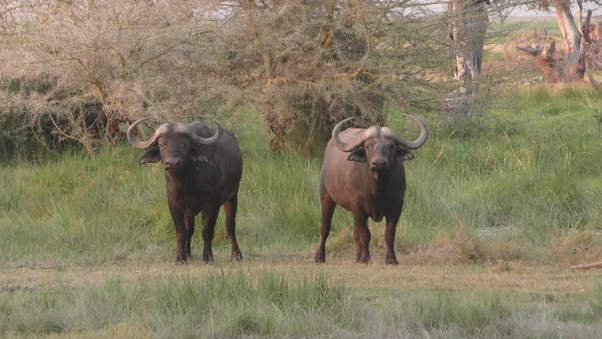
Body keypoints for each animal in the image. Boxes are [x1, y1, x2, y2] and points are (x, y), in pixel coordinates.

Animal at [127, 117, 243, 266]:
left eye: (184, 144)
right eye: (162, 145)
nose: (172, 163)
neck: (189, 182)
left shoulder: (213, 204)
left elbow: (207, 230)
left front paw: (207, 257)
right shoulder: (174, 203)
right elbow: (182, 231)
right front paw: (180, 258)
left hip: (233, 195)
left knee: (230, 225)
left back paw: (237, 255)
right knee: (190, 228)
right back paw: (188, 254)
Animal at [314, 114, 426, 266]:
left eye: (391, 146)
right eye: (368, 146)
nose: (378, 163)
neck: (378, 187)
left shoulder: (397, 206)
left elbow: (389, 234)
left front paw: (391, 259)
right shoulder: (358, 205)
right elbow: (365, 233)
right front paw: (365, 258)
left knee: (355, 232)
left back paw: (357, 257)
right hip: (326, 197)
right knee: (325, 228)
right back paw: (320, 256)